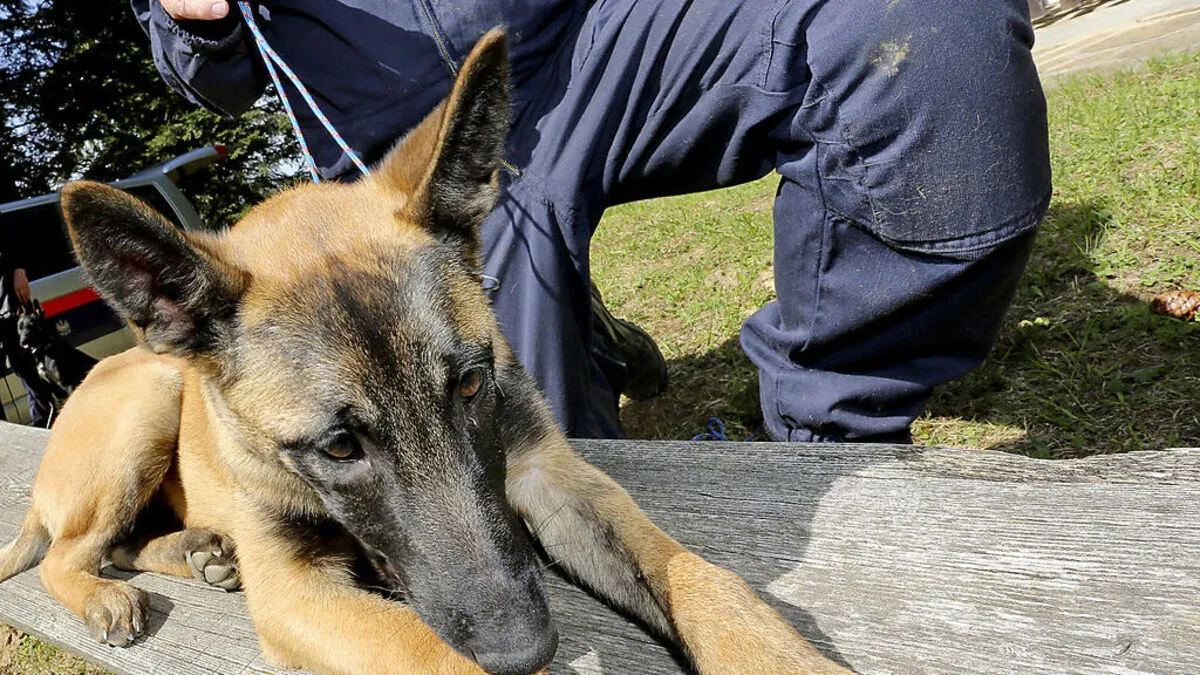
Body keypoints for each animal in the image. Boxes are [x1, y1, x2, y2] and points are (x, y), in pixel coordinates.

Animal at [0, 32, 849, 675]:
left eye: (471, 387)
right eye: (338, 446)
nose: (526, 646)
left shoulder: (552, 475)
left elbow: (701, 576)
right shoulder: (294, 590)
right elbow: (434, 650)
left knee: (116, 543)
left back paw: (195, 550)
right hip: (148, 402)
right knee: (67, 555)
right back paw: (112, 589)